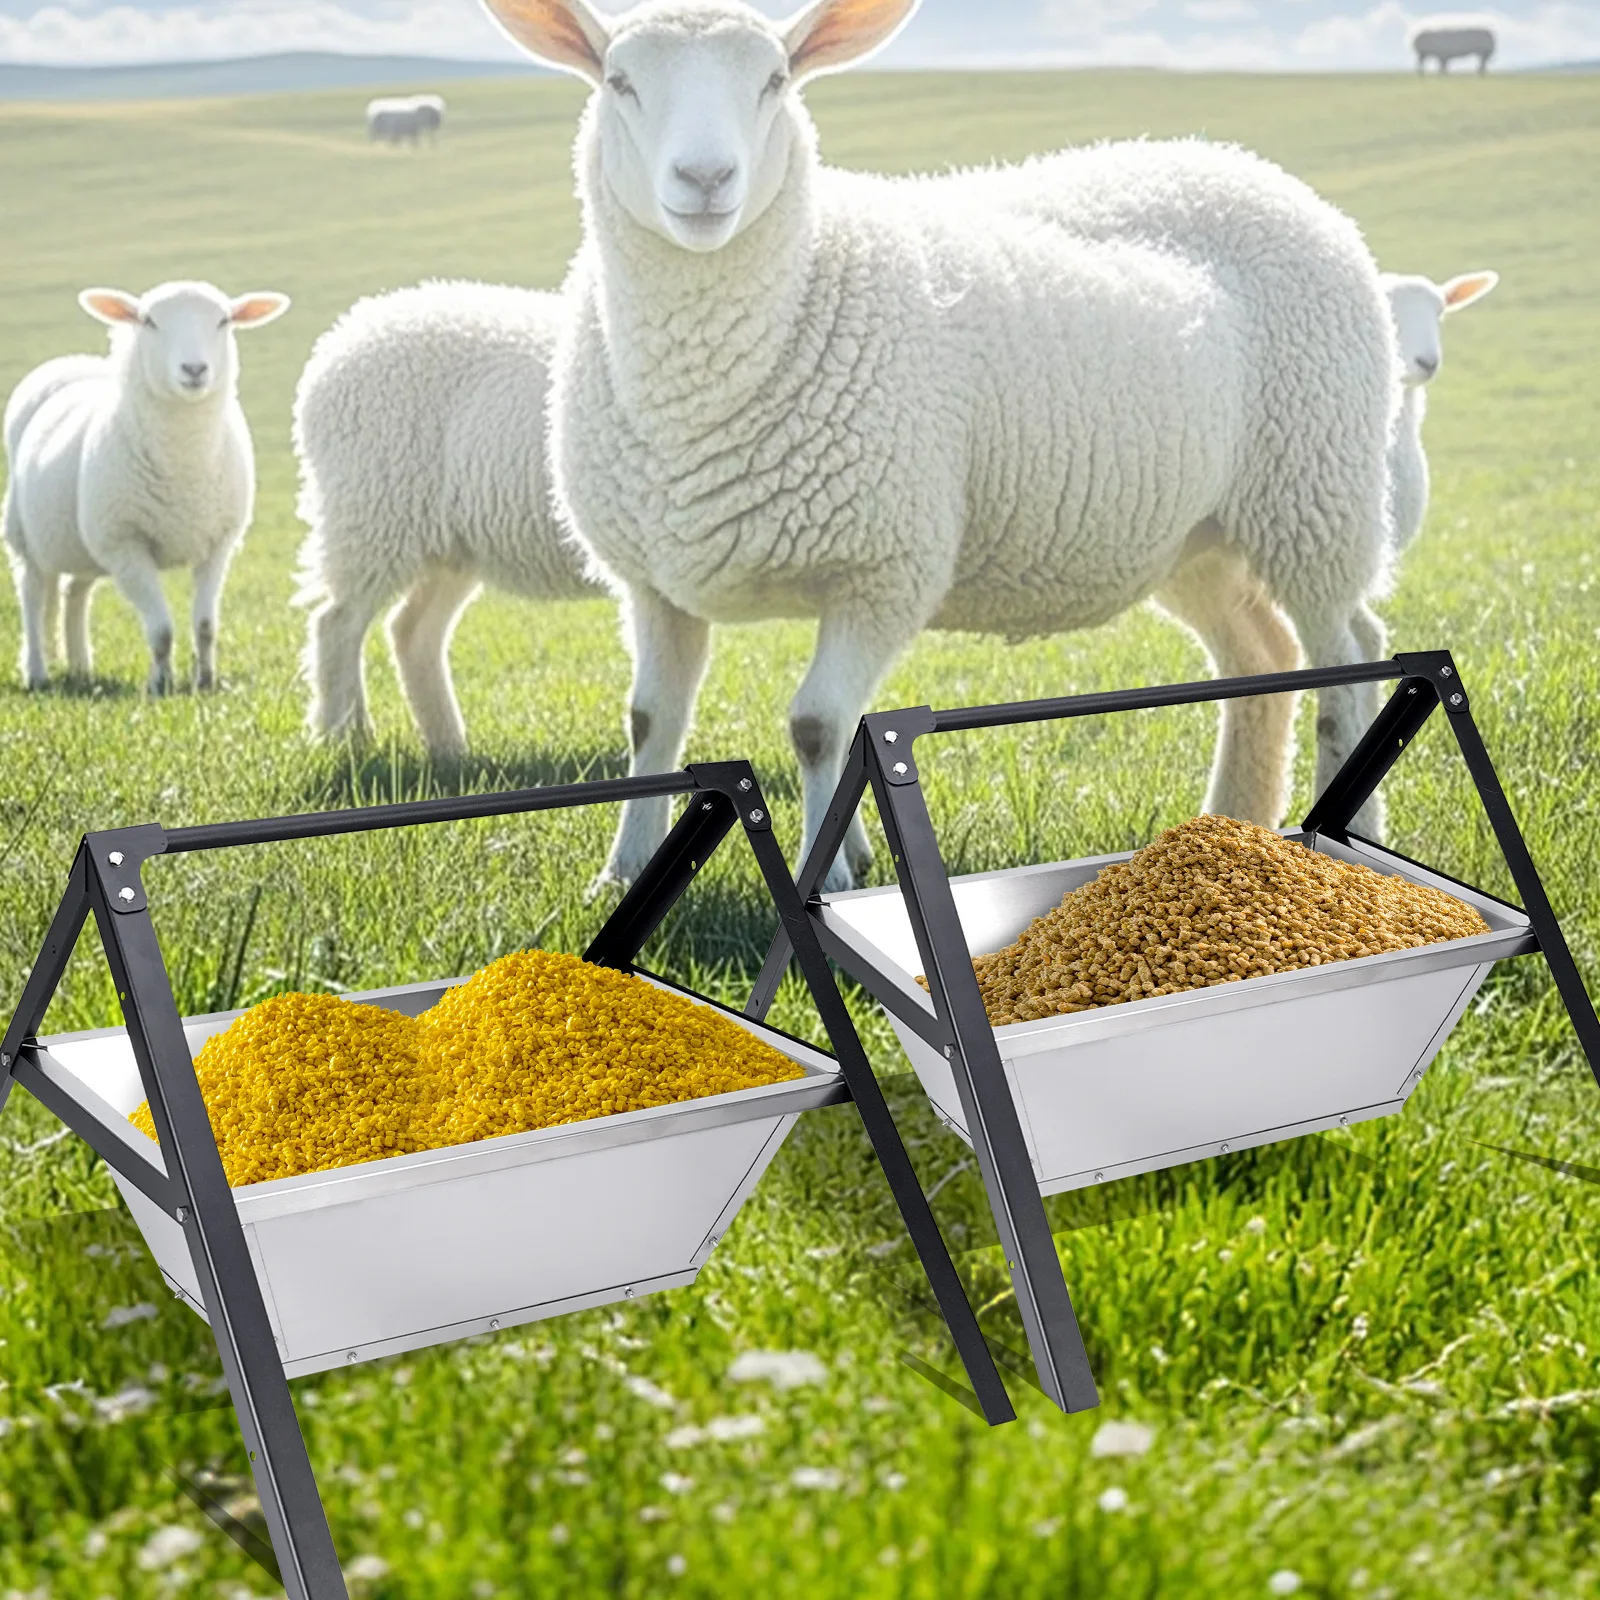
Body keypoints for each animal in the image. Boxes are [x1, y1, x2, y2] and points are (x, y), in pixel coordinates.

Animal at [3, 281, 290, 695]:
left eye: (223, 321)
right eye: (149, 321)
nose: (194, 369)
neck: (185, 467)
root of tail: (73, 362)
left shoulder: (218, 544)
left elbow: (206, 626)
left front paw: (205, 681)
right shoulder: (127, 546)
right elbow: (162, 631)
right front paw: (161, 685)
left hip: (84, 543)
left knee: (74, 591)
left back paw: (80, 667)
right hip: (25, 536)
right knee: (32, 596)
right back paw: (37, 673)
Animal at [294, 280, 600, 755]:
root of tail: (340, 339)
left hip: (447, 543)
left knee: (410, 631)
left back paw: (447, 748)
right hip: (372, 515)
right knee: (336, 625)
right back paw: (345, 738)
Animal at [482, 0, 1401, 892]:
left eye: (775, 80)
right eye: (619, 81)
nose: (705, 180)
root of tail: (1255, 168)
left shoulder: (883, 565)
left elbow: (817, 725)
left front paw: (827, 874)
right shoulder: (654, 579)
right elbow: (652, 721)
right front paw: (624, 871)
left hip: (1316, 489)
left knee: (1349, 654)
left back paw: (1348, 833)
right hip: (1197, 537)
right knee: (1265, 655)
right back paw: (1235, 824)